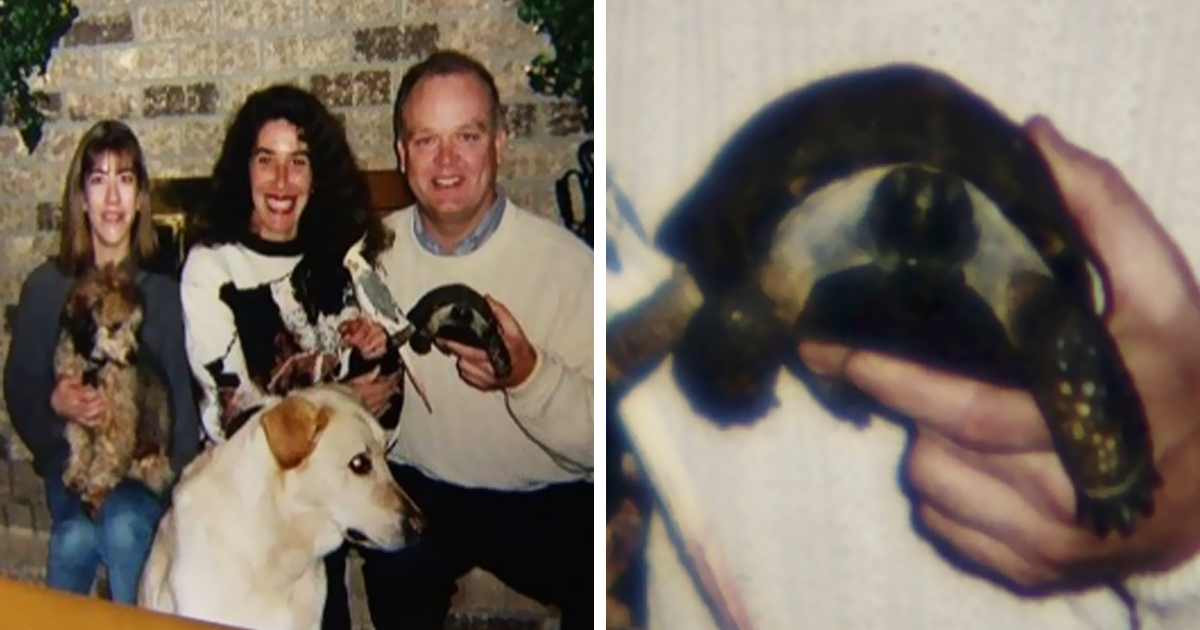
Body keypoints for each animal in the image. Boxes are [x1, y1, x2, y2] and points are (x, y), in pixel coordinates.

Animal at [53, 260, 175, 516]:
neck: (93, 367)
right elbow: (79, 445)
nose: (132, 356)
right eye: (116, 326)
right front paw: (77, 473)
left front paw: (95, 491)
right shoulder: (76, 413)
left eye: (135, 326)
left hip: (152, 459)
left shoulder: (119, 422)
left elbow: (106, 457)